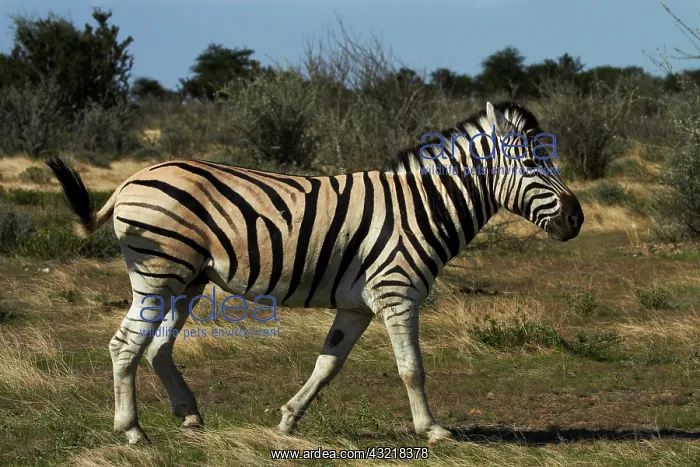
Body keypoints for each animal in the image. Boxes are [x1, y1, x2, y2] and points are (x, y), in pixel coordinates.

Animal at [46, 101, 583, 445]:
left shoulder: (357, 305)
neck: (421, 207)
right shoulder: (397, 293)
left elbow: (328, 365)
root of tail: (130, 180)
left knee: (157, 347)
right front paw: (432, 429)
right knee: (124, 345)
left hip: (189, 279)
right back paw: (132, 431)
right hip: (159, 274)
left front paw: (288, 420)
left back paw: (190, 416)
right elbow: (412, 367)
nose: (577, 219)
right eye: (532, 163)